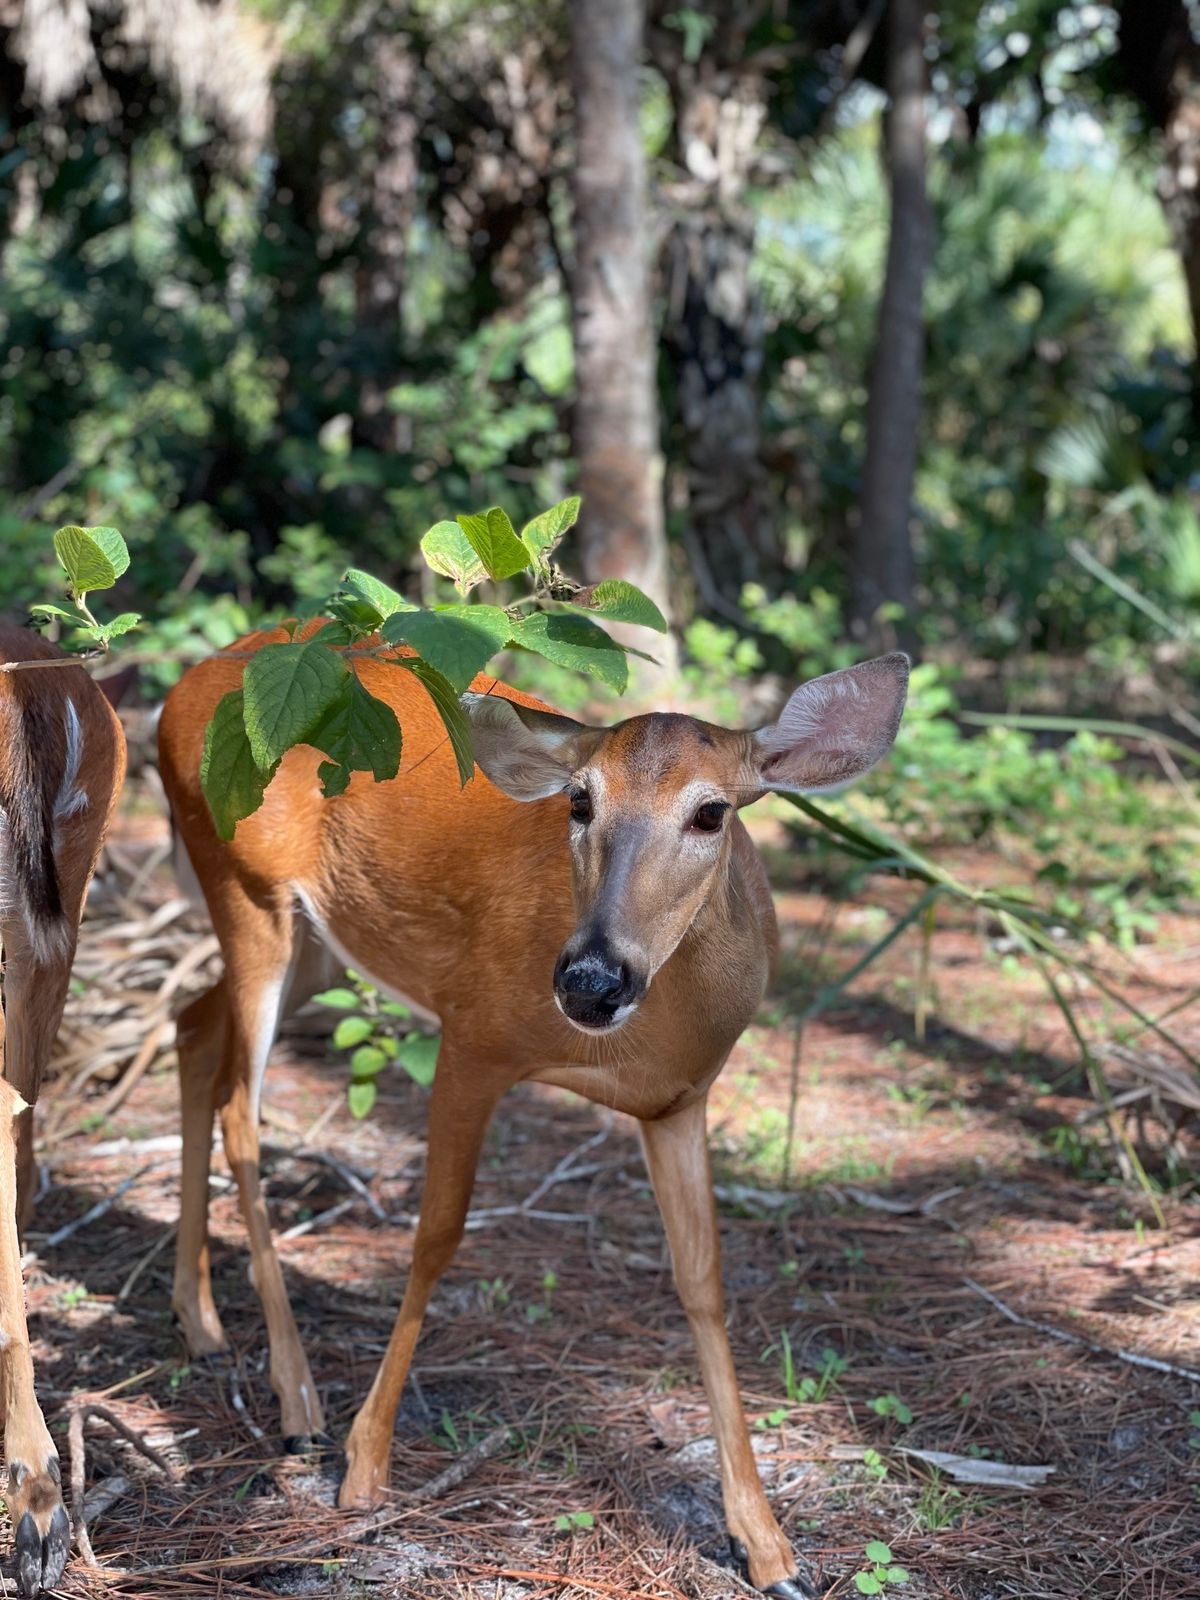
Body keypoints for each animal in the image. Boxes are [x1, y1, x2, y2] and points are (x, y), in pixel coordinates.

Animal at [160, 624, 908, 1600]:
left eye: (712, 813)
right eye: (579, 801)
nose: (590, 979)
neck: (639, 1040)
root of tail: (180, 689)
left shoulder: (680, 1100)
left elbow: (703, 1283)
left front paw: (767, 1545)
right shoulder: (472, 1032)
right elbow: (437, 1235)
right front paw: (366, 1467)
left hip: (314, 939)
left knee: (190, 1026)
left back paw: (202, 1324)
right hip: (246, 890)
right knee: (241, 1107)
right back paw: (298, 1404)